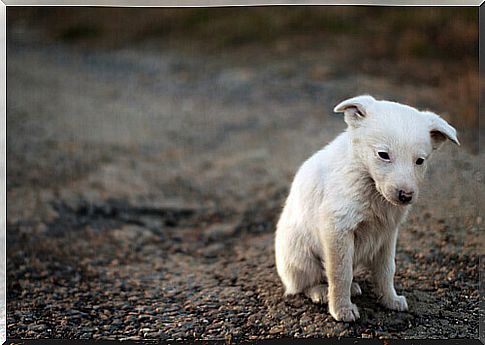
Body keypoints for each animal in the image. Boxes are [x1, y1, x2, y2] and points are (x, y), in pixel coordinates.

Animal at [274, 94, 460, 320]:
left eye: (420, 161)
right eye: (383, 155)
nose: (406, 196)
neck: (368, 181)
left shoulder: (388, 234)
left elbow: (386, 270)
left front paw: (390, 300)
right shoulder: (338, 229)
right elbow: (340, 273)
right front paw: (342, 310)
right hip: (299, 255)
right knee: (304, 283)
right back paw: (320, 291)